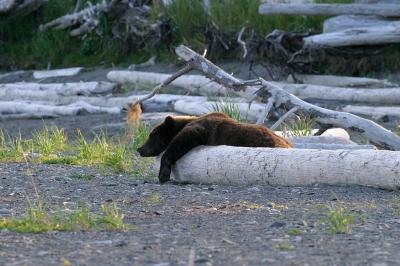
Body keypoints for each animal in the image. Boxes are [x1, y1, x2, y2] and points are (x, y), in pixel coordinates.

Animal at [138, 111, 294, 183]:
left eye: (151, 135)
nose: (139, 149)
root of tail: (288, 146)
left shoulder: (202, 128)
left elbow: (183, 140)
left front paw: (163, 175)